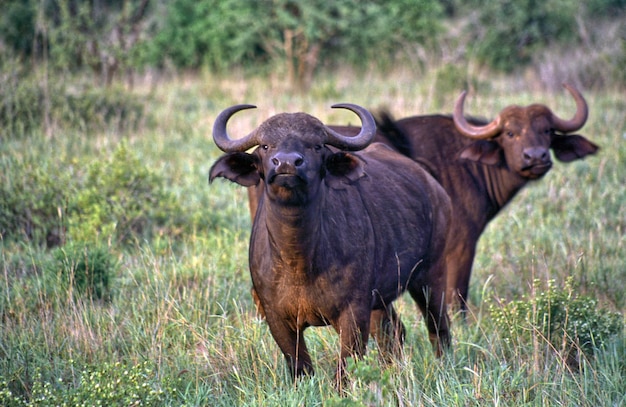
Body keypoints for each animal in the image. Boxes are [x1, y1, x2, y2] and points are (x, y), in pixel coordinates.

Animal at [208, 103, 448, 388]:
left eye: (316, 145)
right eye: (265, 146)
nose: (287, 163)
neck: (298, 259)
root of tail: (433, 186)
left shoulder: (353, 313)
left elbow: (345, 368)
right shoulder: (275, 316)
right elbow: (300, 366)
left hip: (429, 276)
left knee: (438, 326)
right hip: (381, 298)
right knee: (394, 332)